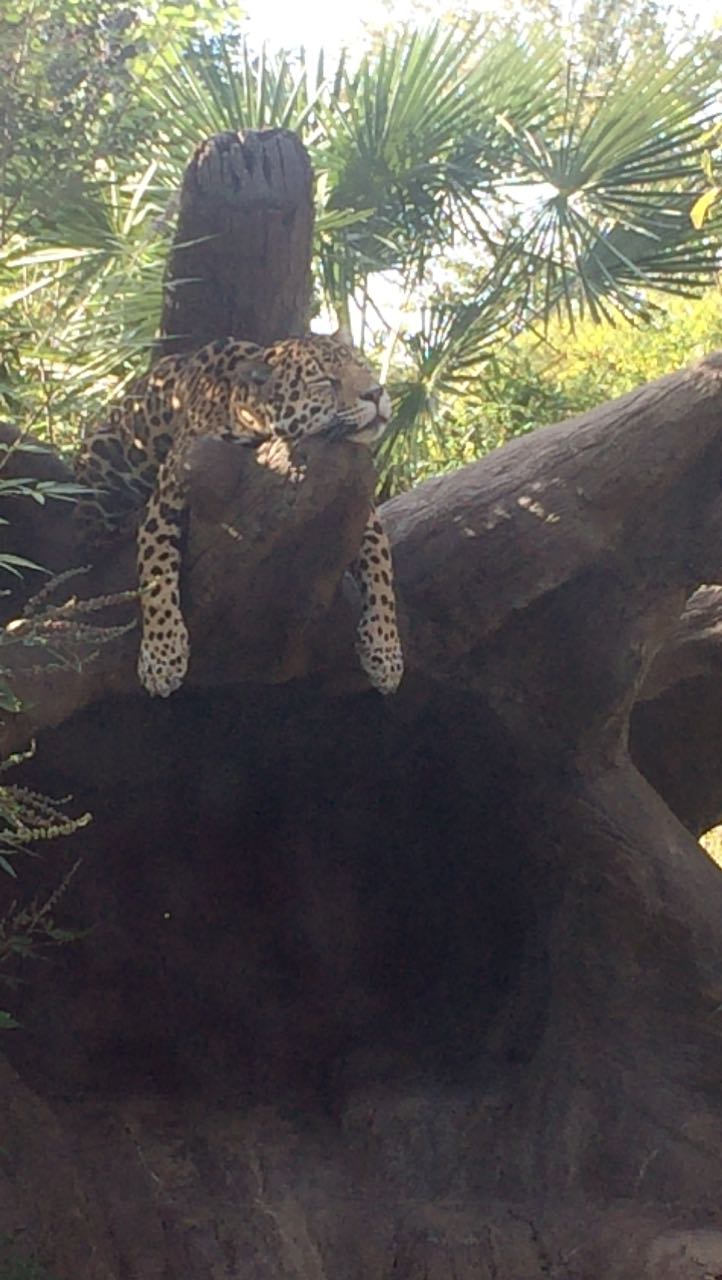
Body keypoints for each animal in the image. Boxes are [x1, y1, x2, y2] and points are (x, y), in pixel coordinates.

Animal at [75, 330, 404, 700]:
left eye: (362, 367)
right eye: (324, 380)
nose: (376, 393)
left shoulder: (362, 506)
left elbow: (381, 570)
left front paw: (385, 653)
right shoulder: (169, 491)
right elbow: (157, 571)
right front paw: (163, 656)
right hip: (101, 452)